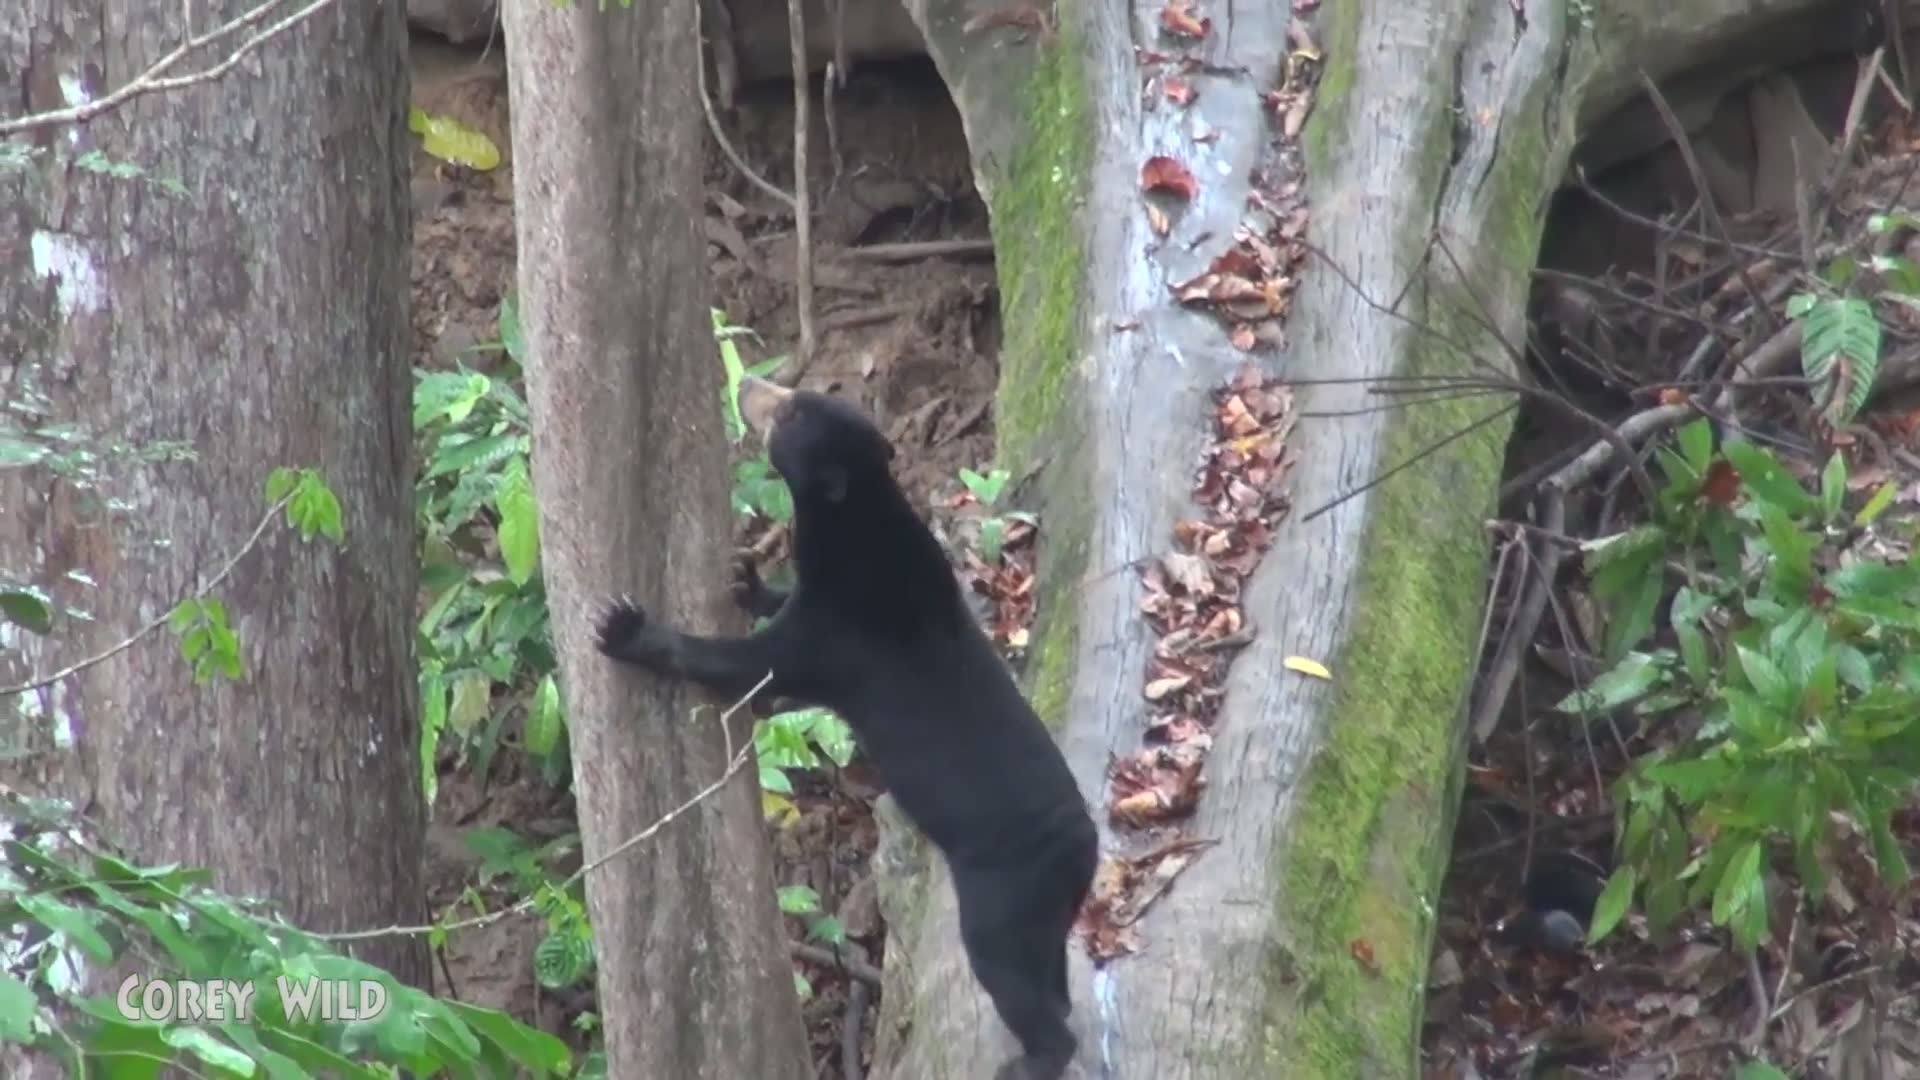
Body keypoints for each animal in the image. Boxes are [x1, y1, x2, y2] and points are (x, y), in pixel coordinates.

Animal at [594, 376, 1099, 1080]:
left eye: (789, 412)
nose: (748, 382)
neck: (857, 516)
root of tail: (1086, 850)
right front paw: (746, 578)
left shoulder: (840, 630)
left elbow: (752, 665)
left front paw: (624, 628)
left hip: (1005, 899)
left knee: (1016, 983)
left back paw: (1030, 1061)